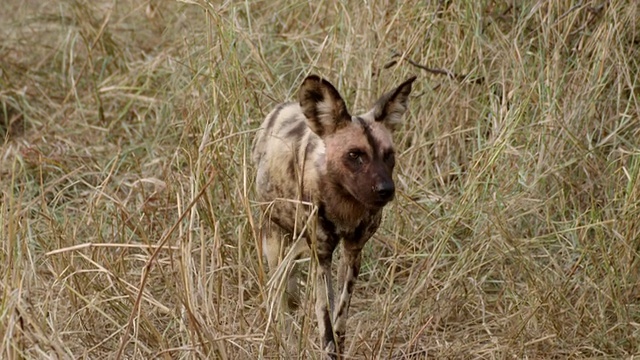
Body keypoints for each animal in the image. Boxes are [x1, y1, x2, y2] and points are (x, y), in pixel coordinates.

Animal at [252, 74, 418, 358]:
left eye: (389, 155)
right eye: (355, 155)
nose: (386, 190)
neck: (344, 204)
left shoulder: (353, 251)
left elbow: (340, 316)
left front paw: (339, 349)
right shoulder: (321, 256)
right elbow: (325, 317)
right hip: (276, 242)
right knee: (279, 296)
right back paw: (285, 343)